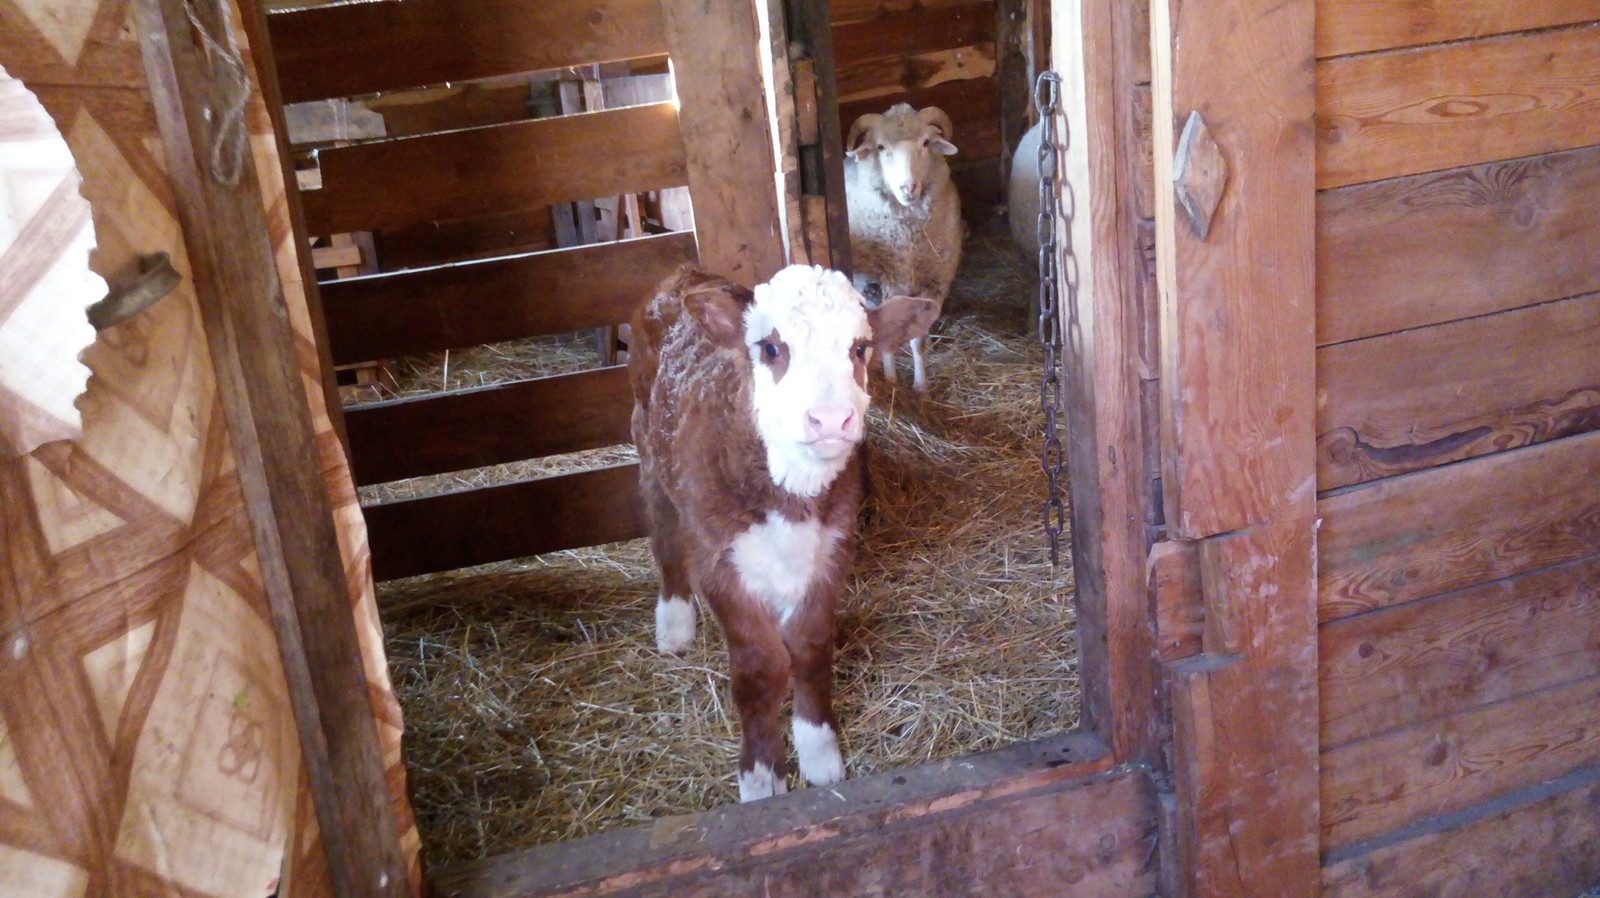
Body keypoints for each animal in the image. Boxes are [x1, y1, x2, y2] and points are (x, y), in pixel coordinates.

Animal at [627, 260, 934, 797]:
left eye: (860, 348)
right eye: (771, 348)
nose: (830, 419)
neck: (790, 494)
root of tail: (682, 275)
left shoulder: (832, 548)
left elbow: (810, 648)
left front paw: (819, 751)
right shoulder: (720, 560)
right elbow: (760, 666)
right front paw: (762, 773)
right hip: (647, 439)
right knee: (663, 533)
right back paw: (675, 623)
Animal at [851, 101, 960, 388]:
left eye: (926, 142)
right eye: (880, 147)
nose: (908, 188)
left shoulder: (932, 285)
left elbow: (917, 340)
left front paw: (921, 387)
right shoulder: (877, 286)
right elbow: (884, 335)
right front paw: (891, 381)